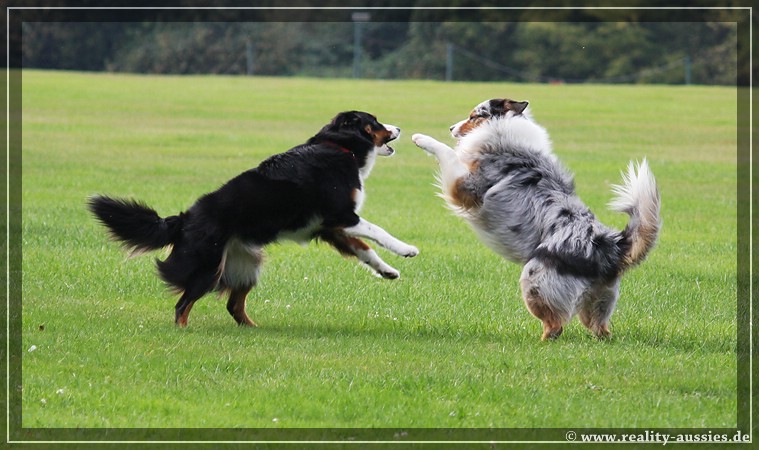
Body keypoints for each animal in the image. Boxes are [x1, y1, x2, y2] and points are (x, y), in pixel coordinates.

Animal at [92, 110, 422, 326]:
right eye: (375, 122)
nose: (400, 127)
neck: (340, 146)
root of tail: (185, 219)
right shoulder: (340, 215)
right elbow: (378, 232)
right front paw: (407, 249)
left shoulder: (329, 227)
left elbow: (365, 250)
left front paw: (387, 271)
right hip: (208, 267)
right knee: (182, 305)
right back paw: (184, 332)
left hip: (247, 263)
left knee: (233, 306)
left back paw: (255, 331)